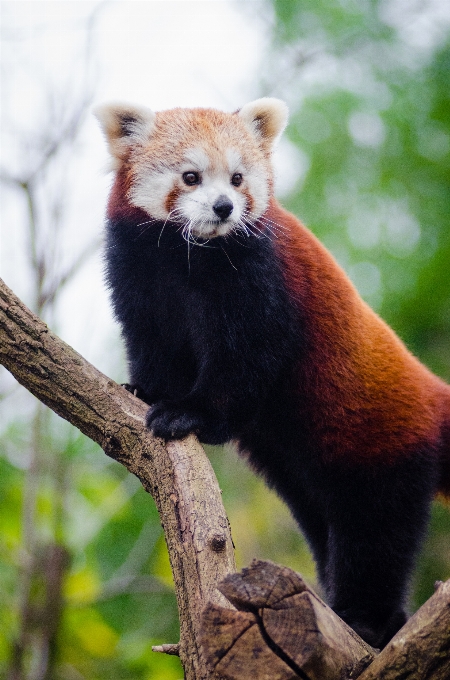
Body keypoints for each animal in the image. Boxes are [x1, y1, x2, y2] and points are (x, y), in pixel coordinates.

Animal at [95, 99, 450, 648]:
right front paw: (144, 390)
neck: (188, 255)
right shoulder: (138, 269)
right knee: (326, 523)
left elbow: (245, 360)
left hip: (383, 443)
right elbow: (151, 341)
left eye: (238, 178)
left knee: (375, 533)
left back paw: (368, 619)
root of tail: (432, 395)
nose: (224, 208)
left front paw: (188, 413)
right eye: (191, 177)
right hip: (304, 469)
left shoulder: (262, 277)